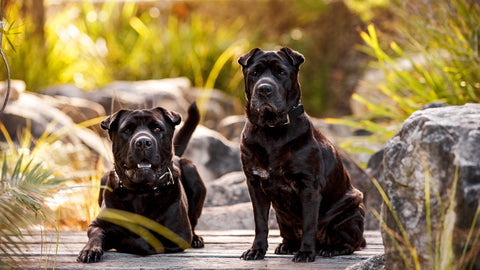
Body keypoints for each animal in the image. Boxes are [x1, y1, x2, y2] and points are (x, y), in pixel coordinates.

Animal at [78, 102, 205, 262]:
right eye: (127, 130)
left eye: (157, 128)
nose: (143, 142)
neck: (141, 192)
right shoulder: (97, 224)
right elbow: (96, 234)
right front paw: (90, 250)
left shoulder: (176, 236)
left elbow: (141, 242)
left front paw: (120, 241)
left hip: (192, 173)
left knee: (193, 222)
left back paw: (196, 239)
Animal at [238, 47, 366, 262]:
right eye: (254, 72)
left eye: (281, 72)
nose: (264, 89)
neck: (271, 130)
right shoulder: (255, 184)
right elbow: (260, 222)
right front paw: (256, 250)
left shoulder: (308, 186)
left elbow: (309, 224)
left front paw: (306, 252)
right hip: (282, 217)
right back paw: (287, 245)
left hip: (352, 211)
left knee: (352, 243)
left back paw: (331, 249)